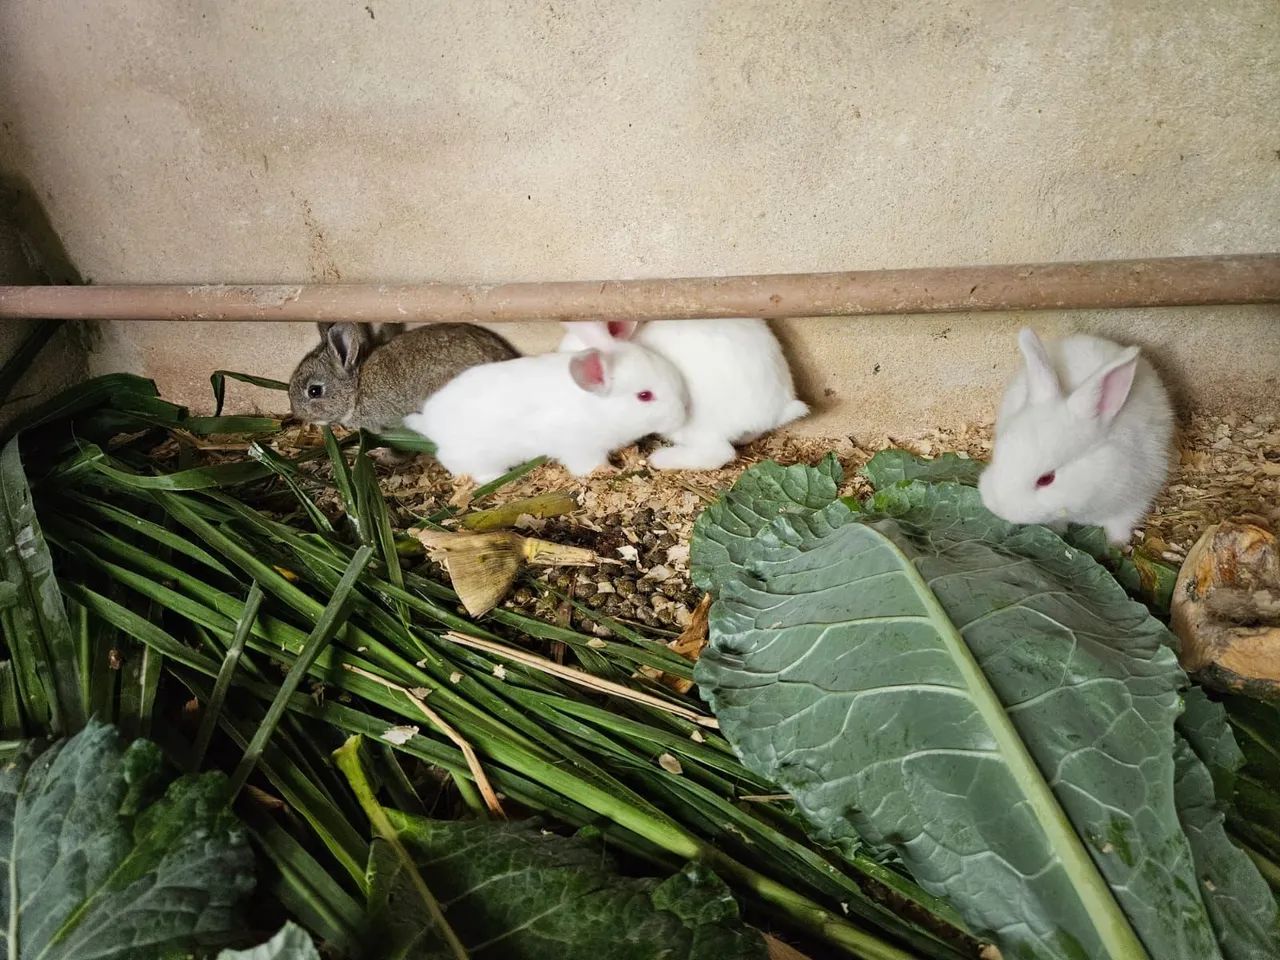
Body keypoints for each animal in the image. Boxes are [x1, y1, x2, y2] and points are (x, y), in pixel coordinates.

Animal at [403, 342, 688, 484]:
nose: (683, 413)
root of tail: (430, 422)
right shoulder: (581, 448)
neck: (597, 409)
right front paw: (608, 471)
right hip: (475, 456)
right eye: (644, 396)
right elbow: (588, 466)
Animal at [978, 328, 1174, 545]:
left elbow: (1119, 527)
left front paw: (1116, 545)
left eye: (1046, 479)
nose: (997, 507)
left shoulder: (1135, 501)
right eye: (998, 455)